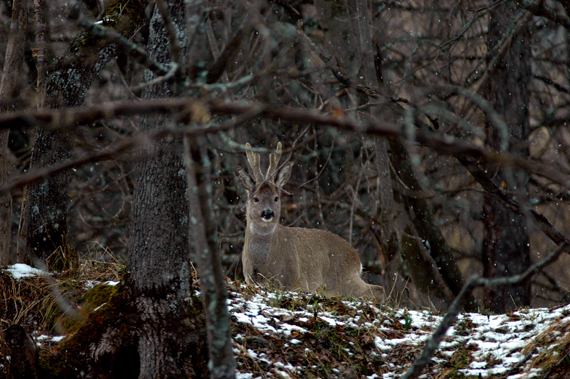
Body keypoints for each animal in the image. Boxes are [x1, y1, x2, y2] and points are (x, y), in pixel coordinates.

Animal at [235, 142, 386, 302]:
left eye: (276, 198)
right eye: (255, 198)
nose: (268, 213)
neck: (263, 261)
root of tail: (357, 258)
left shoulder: (297, 280)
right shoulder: (249, 277)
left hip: (342, 278)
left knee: (377, 290)